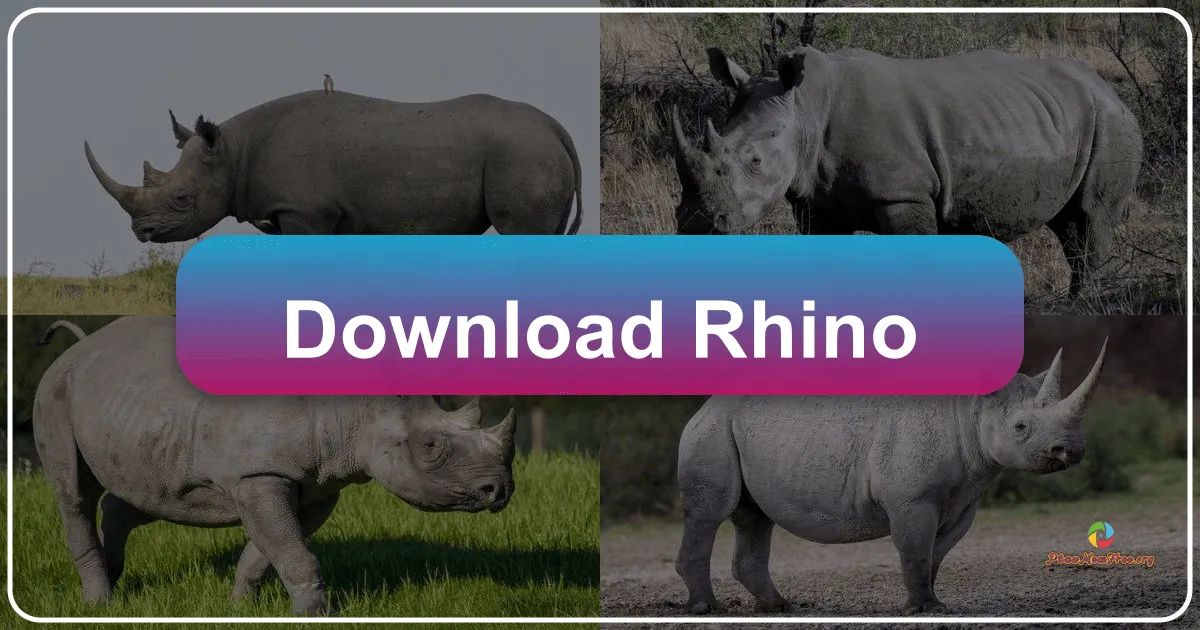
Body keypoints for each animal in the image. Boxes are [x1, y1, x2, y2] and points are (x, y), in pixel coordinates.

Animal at [32, 316, 516, 616]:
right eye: (430, 447)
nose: (500, 490)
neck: (361, 407)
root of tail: (79, 348)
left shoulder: (317, 483)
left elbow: (270, 550)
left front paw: (237, 607)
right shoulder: (261, 474)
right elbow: (292, 550)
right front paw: (318, 615)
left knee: (146, 494)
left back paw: (116, 582)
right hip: (54, 391)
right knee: (73, 492)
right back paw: (100, 604)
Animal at [84, 90, 583, 240]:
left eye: (183, 198)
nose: (142, 232)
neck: (234, 152)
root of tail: (555, 126)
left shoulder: (306, 213)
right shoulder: (298, 215)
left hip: (522, 155)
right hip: (531, 152)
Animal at [670, 45, 1143, 296]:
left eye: (753, 162)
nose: (697, 227)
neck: (805, 108)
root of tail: (1110, 89)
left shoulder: (903, 193)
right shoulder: (817, 202)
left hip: (1111, 122)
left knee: (1093, 217)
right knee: (1068, 224)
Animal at [675, 339, 1108, 615]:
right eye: (1020, 427)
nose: (1070, 450)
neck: (970, 411)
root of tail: (705, 406)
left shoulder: (963, 499)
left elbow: (936, 553)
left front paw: (932, 604)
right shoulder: (912, 499)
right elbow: (915, 550)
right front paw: (924, 609)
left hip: (741, 432)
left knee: (754, 516)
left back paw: (777, 607)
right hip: (712, 431)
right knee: (711, 513)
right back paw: (707, 608)